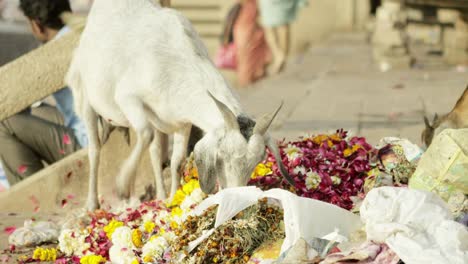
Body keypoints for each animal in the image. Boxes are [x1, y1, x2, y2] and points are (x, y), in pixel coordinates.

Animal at [66, 0, 292, 210]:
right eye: (221, 156)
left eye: (257, 161)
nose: (238, 197)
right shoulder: (127, 97)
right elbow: (145, 133)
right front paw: (122, 183)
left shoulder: (183, 121)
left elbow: (176, 161)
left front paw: (172, 199)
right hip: (85, 95)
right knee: (95, 149)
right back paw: (93, 203)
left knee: (155, 151)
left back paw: (155, 195)